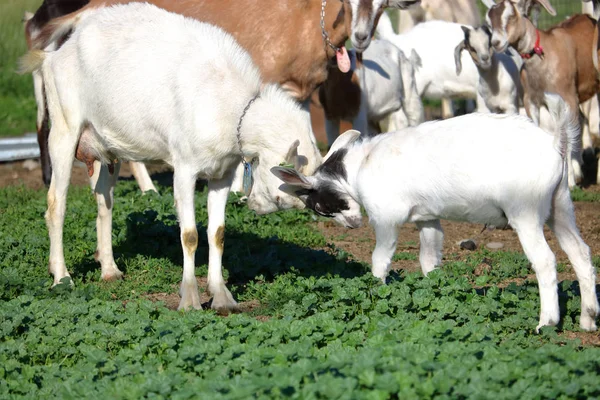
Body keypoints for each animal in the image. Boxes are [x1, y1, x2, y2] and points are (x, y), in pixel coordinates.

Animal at [19, 3, 324, 312]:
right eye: (284, 192)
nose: (257, 208)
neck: (228, 104)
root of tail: (57, 54)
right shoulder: (185, 168)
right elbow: (189, 235)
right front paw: (189, 300)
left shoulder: (222, 174)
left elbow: (218, 233)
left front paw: (222, 297)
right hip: (64, 126)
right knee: (56, 204)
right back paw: (61, 277)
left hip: (106, 145)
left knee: (104, 201)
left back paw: (109, 270)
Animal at [274, 94, 596, 332]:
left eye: (320, 207)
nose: (351, 225)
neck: (360, 165)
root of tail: (555, 143)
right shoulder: (427, 219)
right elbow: (429, 260)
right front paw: (435, 293)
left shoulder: (386, 218)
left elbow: (380, 259)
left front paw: (375, 290)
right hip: (559, 205)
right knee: (580, 252)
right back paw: (588, 318)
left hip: (525, 211)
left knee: (545, 260)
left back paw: (547, 322)